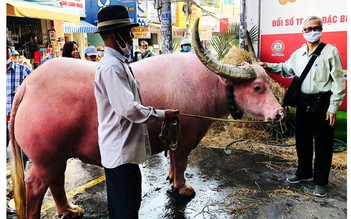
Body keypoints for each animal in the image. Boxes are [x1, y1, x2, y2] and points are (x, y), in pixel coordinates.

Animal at [10, 19, 286, 219]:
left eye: (268, 81)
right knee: (36, 187)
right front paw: (182, 188)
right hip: (44, 161)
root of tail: (28, 86)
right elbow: (181, 163)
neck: (209, 83)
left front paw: (171, 179)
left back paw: (69, 210)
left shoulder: (174, 137)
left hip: (56, 157)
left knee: (56, 182)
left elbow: (173, 162)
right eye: (257, 87)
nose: (280, 113)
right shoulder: (185, 140)